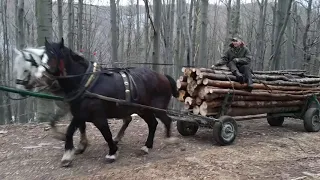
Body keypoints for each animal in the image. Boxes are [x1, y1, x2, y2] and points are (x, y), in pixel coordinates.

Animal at [42, 37, 179, 166]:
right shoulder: (79, 114)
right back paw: (147, 146)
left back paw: (168, 139)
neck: (86, 83)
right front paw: (67, 155)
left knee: (166, 120)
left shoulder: (98, 116)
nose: (44, 77)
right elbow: (69, 131)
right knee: (153, 124)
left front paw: (112, 153)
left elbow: (106, 133)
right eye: (42, 55)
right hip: (143, 110)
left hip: (156, 108)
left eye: (54, 55)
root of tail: (162, 76)